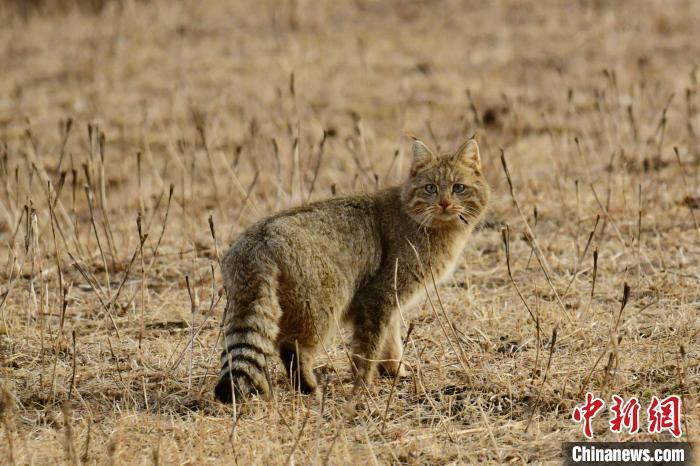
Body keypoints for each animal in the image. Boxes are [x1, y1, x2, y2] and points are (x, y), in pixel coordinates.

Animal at [216, 137, 490, 402]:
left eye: (458, 188)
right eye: (430, 188)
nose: (444, 203)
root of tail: (258, 239)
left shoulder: (391, 305)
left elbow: (391, 341)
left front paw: (395, 371)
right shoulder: (378, 298)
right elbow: (368, 348)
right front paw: (364, 386)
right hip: (322, 304)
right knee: (291, 348)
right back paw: (309, 389)